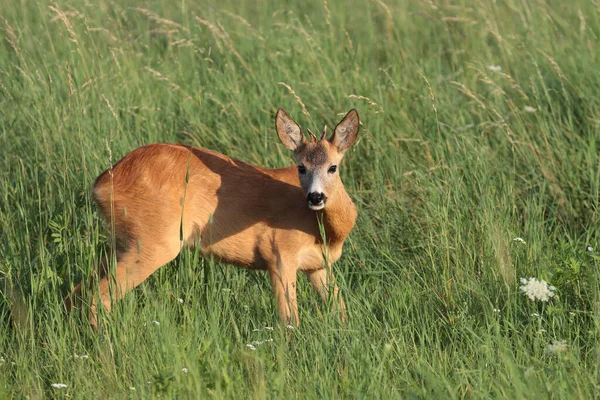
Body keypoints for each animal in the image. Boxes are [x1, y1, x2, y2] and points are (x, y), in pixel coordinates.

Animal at [68, 108, 360, 326]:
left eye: (333, 167)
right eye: (301, 167)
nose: (315, 197)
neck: (326, 232)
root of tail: (101, 184)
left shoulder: (317, 266)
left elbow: (341, 310)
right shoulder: (279, 254)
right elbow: (289, 321)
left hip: (121, 243)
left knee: (78, 292)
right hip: (152, 243)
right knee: (99, 298)